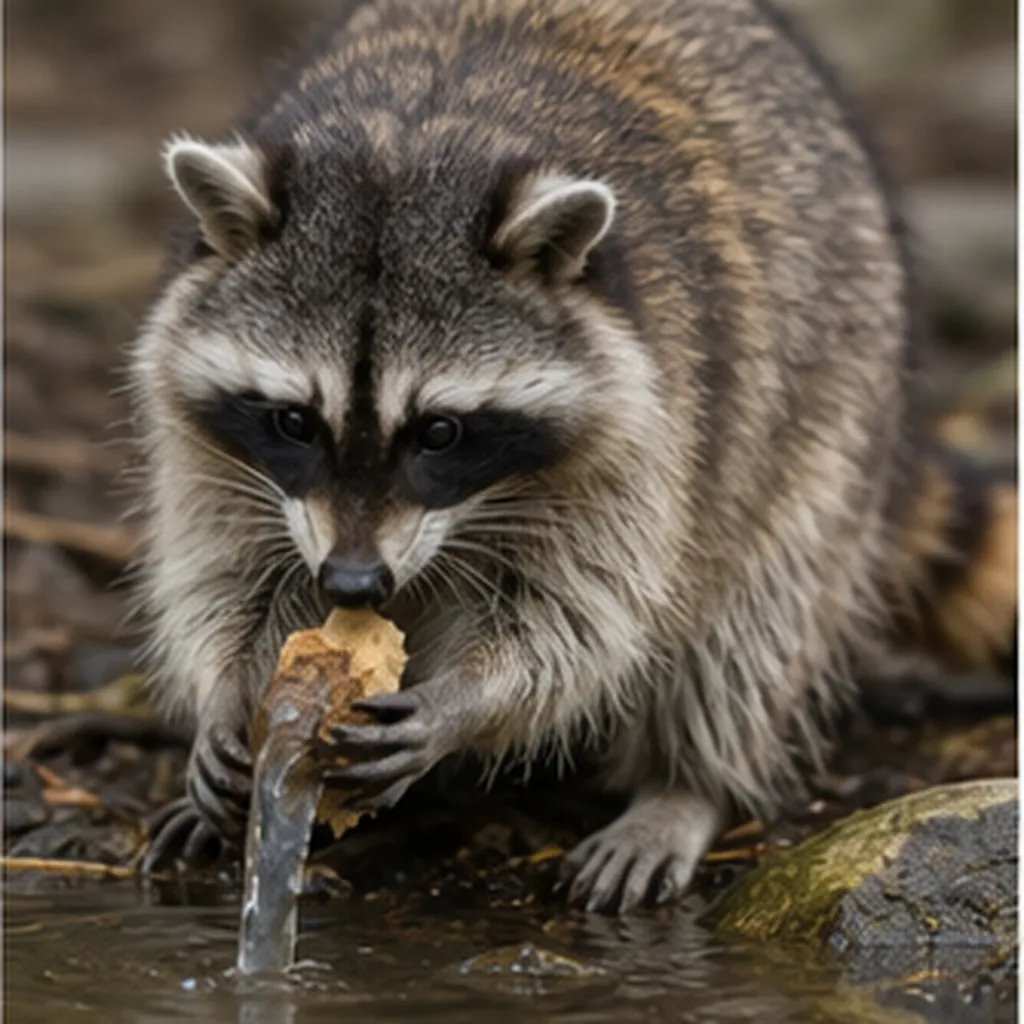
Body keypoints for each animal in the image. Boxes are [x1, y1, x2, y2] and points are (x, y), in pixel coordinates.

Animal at [129, 0, 1016, 912]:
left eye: (439, 432)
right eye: (294, 422)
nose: (352, 583)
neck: (406, 142)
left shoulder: (653, 421)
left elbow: (589, 611)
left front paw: (469, 700)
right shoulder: (209, 446)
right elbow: (225, 568)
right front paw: (225, 690)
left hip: (835, 401)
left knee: (752, 617)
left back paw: (686, 782)